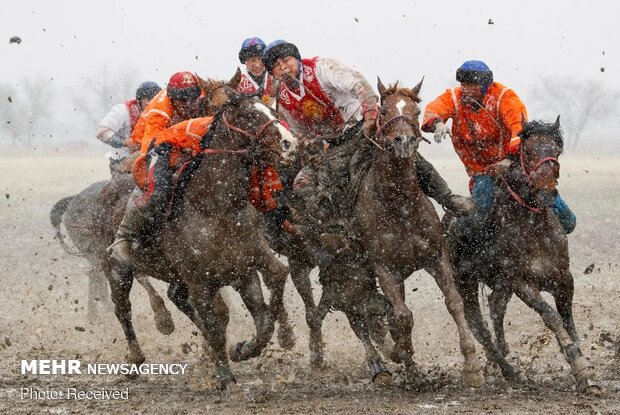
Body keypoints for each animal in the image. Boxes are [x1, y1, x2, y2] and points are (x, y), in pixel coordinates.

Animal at [48, 181, 173, 332]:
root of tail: (72, 200)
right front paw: (163, 319)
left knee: (97, 280)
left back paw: (95, 315)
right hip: (97, 254)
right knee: (101, 280)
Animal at [446, 116, 600, 394]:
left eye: (556, 150)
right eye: (527, 152)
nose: (546, 192)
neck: (534, 230)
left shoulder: (564, 279)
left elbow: (568, 321)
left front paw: (584, 368)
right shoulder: (522, 284)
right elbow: (551, 316)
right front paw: (578, 363)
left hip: (500, 284)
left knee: (496, 307)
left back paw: (500, 356)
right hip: (465, 280)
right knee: (477, 324)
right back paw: (510, 372)